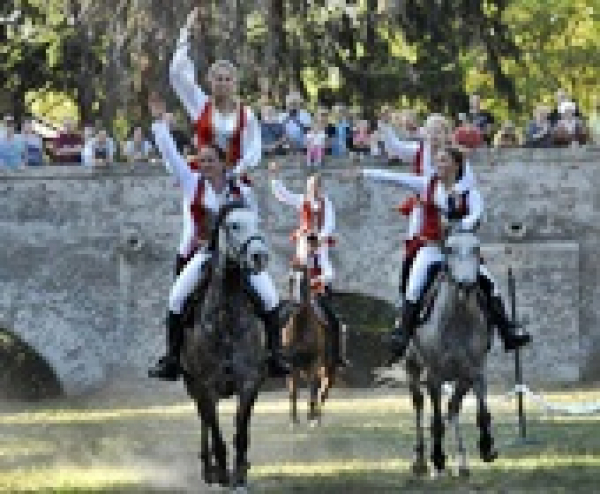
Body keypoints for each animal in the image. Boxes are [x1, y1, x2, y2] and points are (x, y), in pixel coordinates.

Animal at [180, 200, 270, 490]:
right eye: (233, 225)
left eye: (258, 223)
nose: (260, 257)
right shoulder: (206, 387)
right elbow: (217, 434)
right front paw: (222, 473)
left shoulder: (249, 383)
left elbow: (241, 430)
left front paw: (240, 474)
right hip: (193, 386)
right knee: (204, 423)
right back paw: (209, 470)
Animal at [282, 262, 336, 428]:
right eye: (291, 279)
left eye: (305, 279)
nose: (296, 304)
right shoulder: (293, 363)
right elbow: (293, 390)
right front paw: (293, 420)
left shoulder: (315, 361)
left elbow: (313, 387)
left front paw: (311, 418)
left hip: (328, 367)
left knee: (323, 389)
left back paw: (316, 417)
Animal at [408, 230, 496, 476]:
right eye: (449, 249)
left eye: (476, 248)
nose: (466, 286)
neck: (458, 319)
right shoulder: (434, 376)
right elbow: (436, 420)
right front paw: (438, 458)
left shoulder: (474, 372)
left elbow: (482, 412)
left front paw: (486, 447)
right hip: (412, 367)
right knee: (419, 404)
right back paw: (420, 460)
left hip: (460, 378)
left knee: (453, 407)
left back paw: (462, 463)